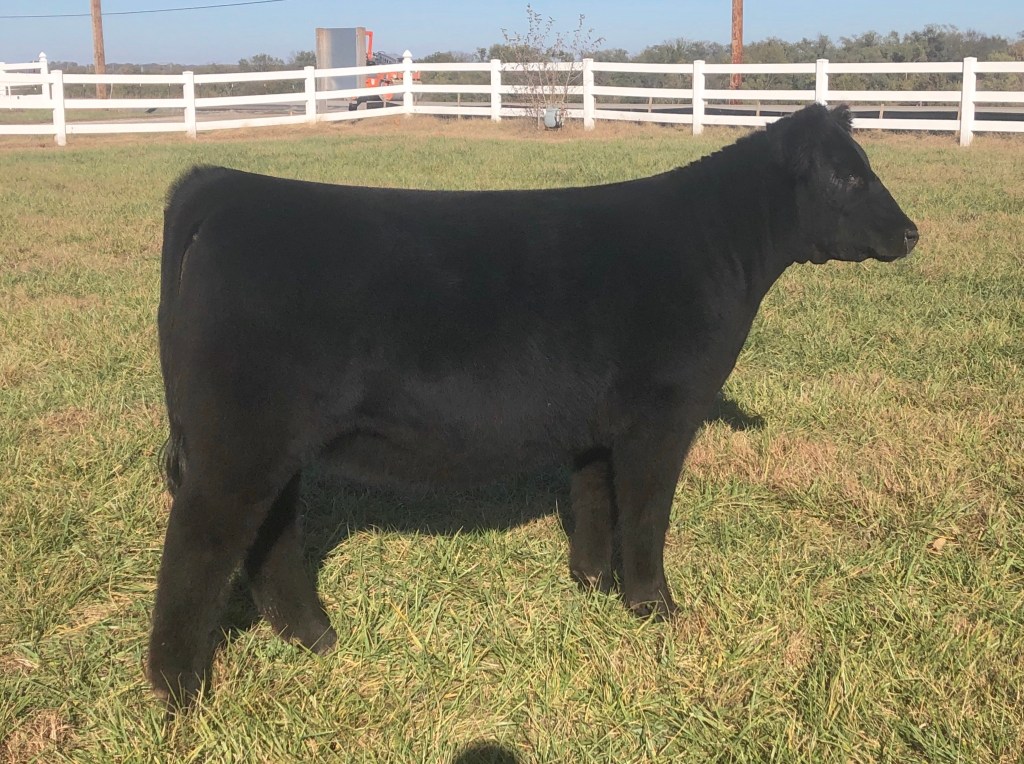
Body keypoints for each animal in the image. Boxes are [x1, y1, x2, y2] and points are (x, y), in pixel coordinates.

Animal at [149, 104, 918, 711]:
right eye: (848, 177)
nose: (912, 233)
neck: (716, 250)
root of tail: (224, 184)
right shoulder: (662, 416)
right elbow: (646, 515)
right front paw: (655, 609)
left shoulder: (597, 421)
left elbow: (595, 500)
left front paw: (591, 585)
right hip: (236, 439)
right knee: (200, 543)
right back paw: (182, 692)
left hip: (272, 441)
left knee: (269, 534)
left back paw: (314, 639)